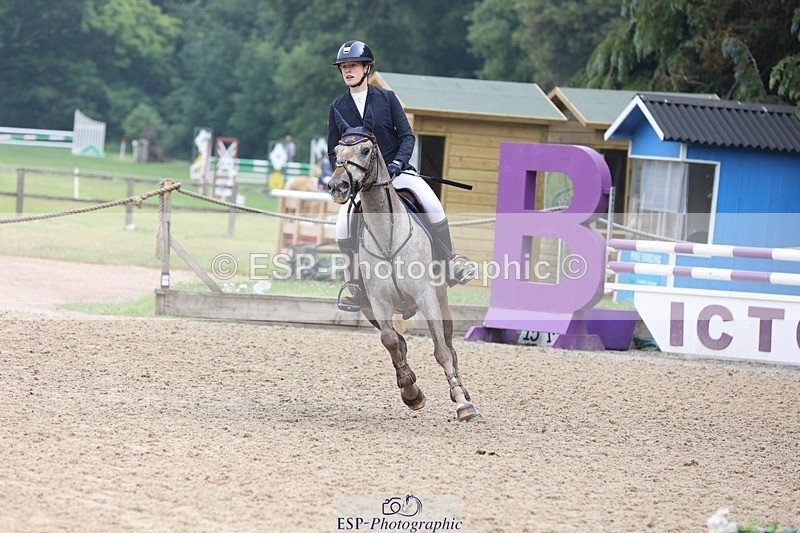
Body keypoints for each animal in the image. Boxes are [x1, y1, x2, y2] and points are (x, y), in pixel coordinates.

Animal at [327, 107, 481, 422]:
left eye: (365, 150)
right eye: (336, 151)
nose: (338, 187)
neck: (387, 236)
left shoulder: (425, 295)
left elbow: (441, 350)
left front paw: (463, 404)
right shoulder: (378, 301)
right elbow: (390, 340)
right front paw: (411, 391)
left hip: (441, 298)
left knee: (449, 344)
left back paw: (461, 391)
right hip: (368, 308)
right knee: (399, 342)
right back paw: (409, 384)